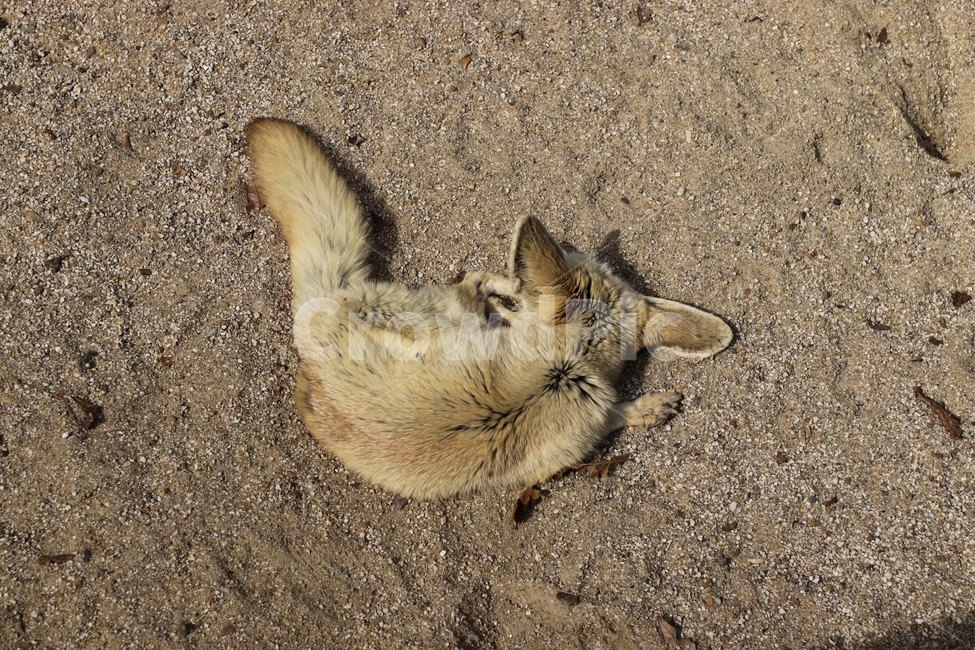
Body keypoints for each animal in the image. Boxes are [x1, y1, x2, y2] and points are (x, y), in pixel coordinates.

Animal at [246, 118, 733, 500]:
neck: (567, 362)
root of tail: (322, 308)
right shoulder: (579, 439)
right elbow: (618, 414)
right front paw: (649, 408)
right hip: (437, 304)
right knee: (470, 282)